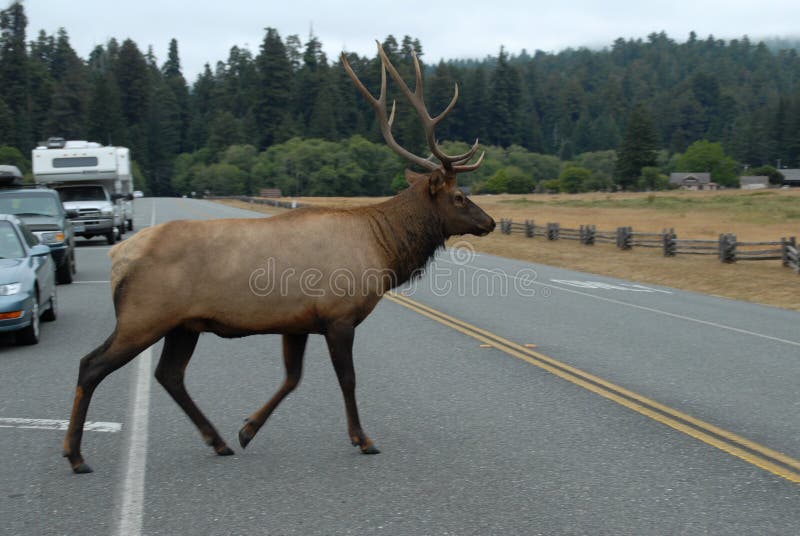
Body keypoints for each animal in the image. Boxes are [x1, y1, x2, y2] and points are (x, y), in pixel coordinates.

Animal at [62, 42, 494, 474]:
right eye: (459, 196)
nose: (489, 222)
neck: (382, 249)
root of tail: (119, 255)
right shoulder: (338, 316)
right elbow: (347, 379)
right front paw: (363, 439)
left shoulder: (298, 321)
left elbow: (292, 378)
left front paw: (247, 429)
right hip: (143, 316)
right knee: (91, 364)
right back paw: (76, 454)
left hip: (182, 324)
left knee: (169, 374)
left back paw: (218, 440)